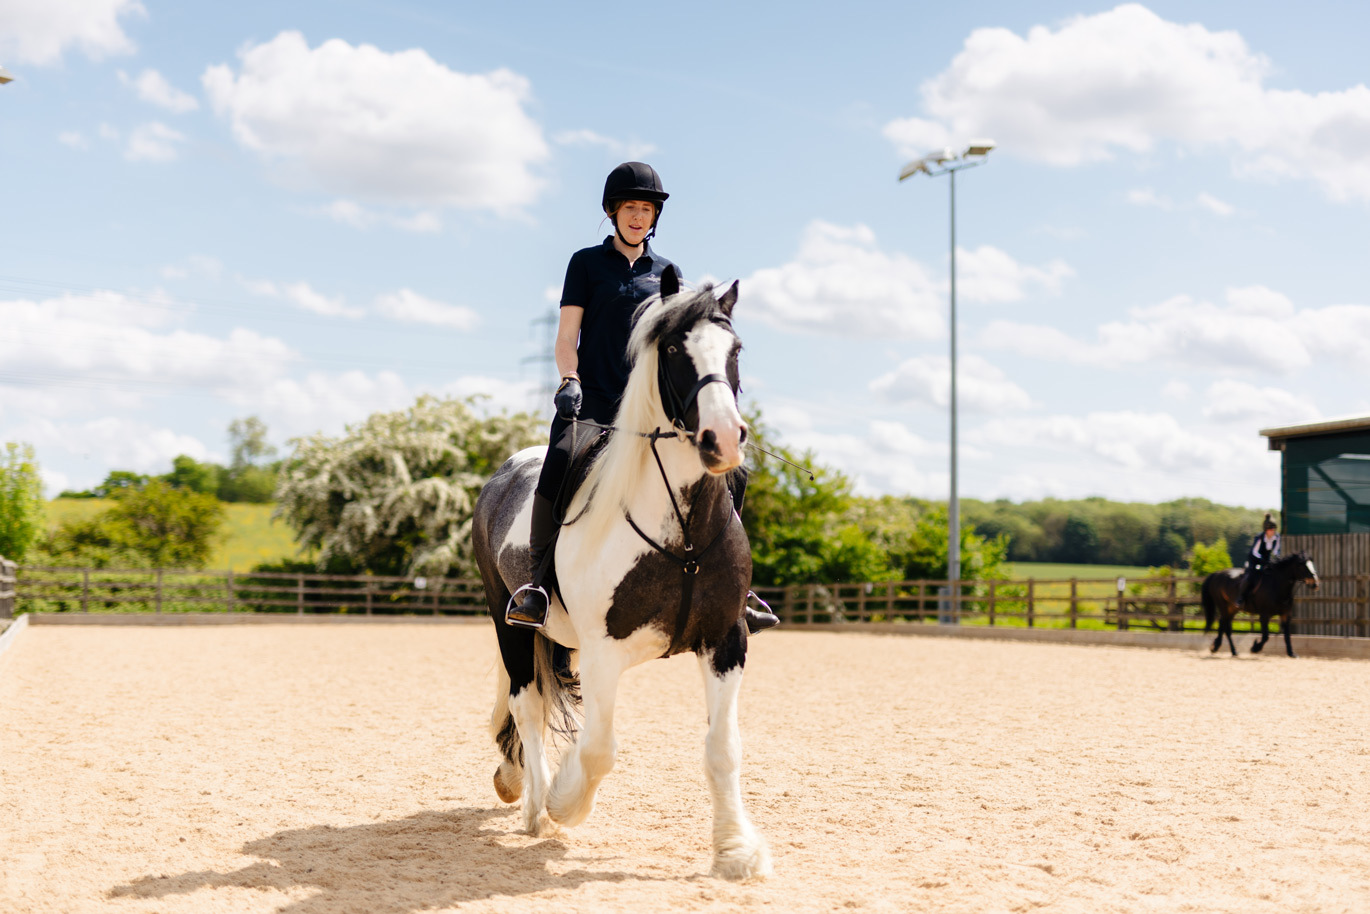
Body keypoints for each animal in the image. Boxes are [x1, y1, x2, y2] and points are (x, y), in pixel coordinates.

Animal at [470, 266, 770, 881]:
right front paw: (564, 802)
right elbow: (597, 748)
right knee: (526, 705)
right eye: (674, 350)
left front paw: (735, 851)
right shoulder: (604, 651)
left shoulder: (726, 640)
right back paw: (534, 806)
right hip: (508, 620)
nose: (723, 439)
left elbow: (723, 748)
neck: (683, 534)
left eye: (735, 349)